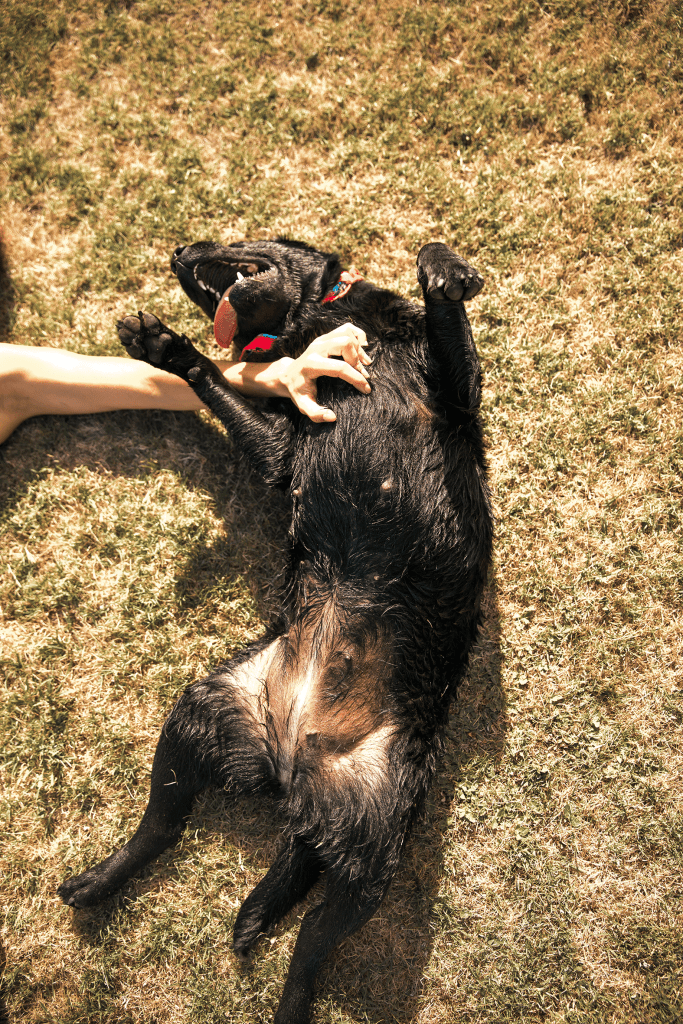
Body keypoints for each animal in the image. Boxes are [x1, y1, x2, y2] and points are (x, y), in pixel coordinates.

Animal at [58, 238, 492, 1024]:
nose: (178, 250)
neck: (323, 321)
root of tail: (290, 775)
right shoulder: (285, 450)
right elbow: (222, 390)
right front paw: (168, 348)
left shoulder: (454, 393)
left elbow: (443, 300)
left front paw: (443, 271)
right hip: (202, 712)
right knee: (163, 829)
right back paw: (103, 881)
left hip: (368, 859)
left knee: (306, 954)